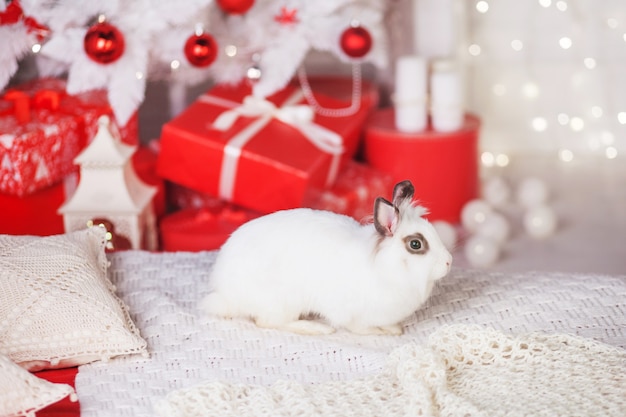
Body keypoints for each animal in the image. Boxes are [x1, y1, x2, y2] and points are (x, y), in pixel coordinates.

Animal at [200, 180, 448, 334]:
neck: (386, 266)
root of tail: (224, 293)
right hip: (283, 301)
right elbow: (359, 328)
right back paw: (317, 329)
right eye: (415, 244)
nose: (449, 262)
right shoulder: (352, 314)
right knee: (268, 322)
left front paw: (393, 328)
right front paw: (384, 332)